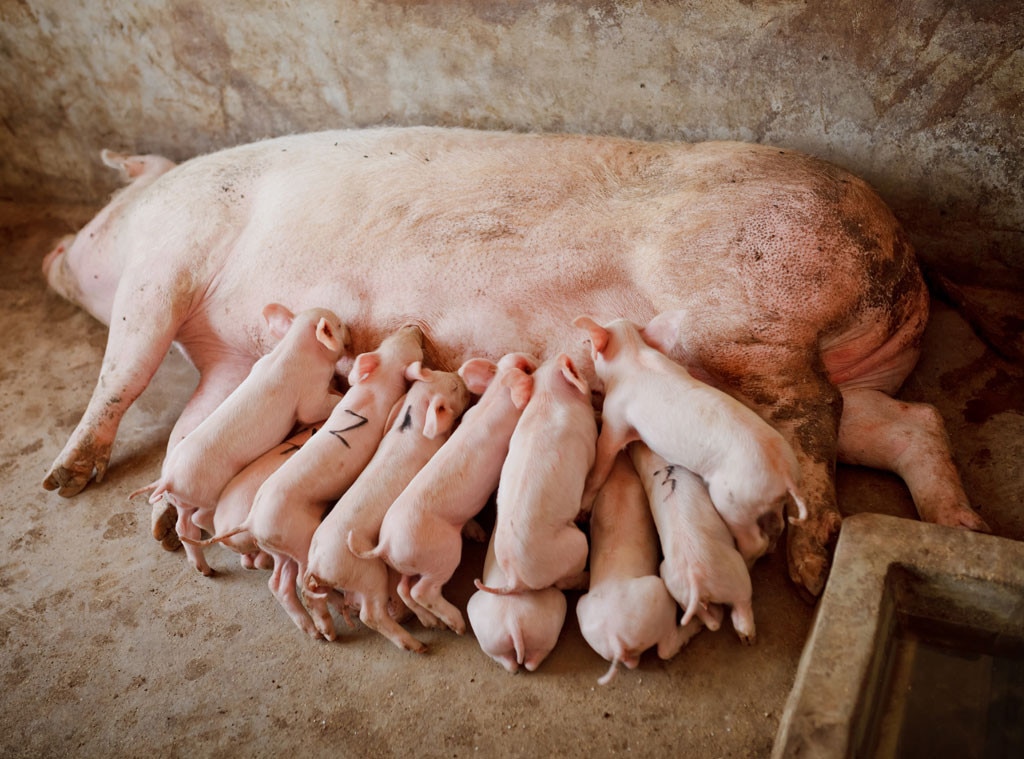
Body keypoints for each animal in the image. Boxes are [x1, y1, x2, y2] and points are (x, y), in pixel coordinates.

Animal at [39, 125, 983, 598]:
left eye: (97, 215)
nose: (48, 250)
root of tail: (899, 258)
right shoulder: (231, 360)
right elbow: (197, 423)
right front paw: (165, 525)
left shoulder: (167, 260)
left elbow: (123, 373)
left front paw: (62, 481)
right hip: (790, 368)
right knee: (905, 421)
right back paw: (961, 526)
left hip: (752, 319)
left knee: (816, 420)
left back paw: (812, 570)